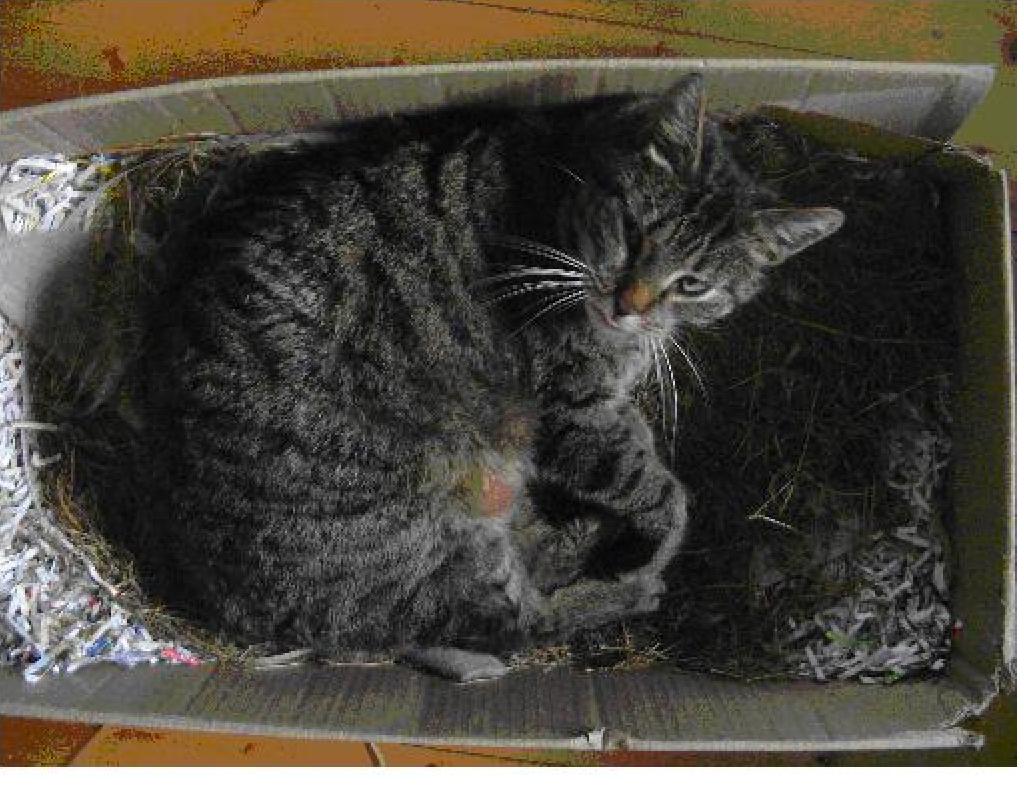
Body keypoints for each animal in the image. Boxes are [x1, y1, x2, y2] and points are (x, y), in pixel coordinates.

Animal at [52, 74, 843, 681]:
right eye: (634, 232)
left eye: (694, 283)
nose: (629, 303)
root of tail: (217, 603)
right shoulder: (576, 413)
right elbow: (656, 485)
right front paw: (665, 531)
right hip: (433, 544)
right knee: (516, 622)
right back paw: (628, 587)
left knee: (526, 568)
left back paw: (583, 539)